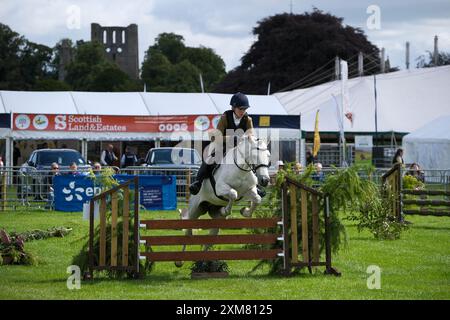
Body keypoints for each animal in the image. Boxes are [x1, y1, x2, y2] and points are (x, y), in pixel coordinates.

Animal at [177, 135, 270, 268]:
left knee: (209, 239)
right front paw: (225, 210)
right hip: (195, 210)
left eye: (268, 155)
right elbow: (233, 193)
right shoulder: (221, 188)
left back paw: (202, 262)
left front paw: (245, 211)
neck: (242, 169)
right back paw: (179, 261)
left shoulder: (249, 190)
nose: (265, 180)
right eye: (255, 155)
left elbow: (257, 199)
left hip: (215, 220)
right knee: (188, 233)